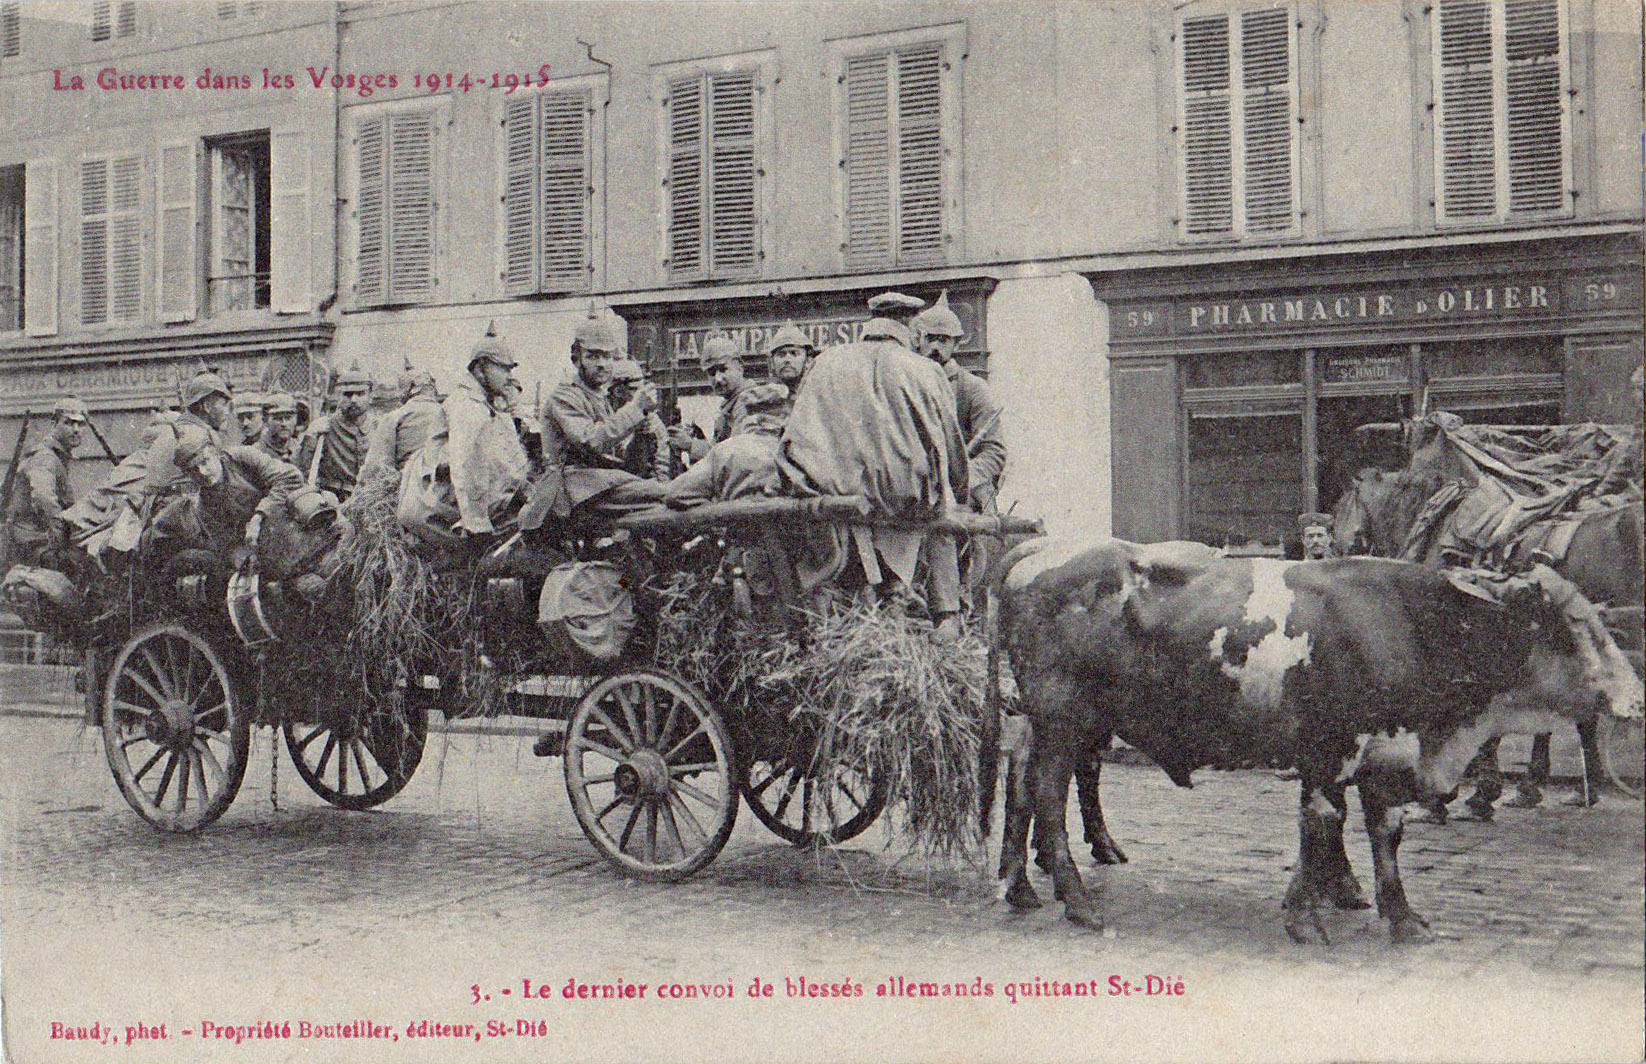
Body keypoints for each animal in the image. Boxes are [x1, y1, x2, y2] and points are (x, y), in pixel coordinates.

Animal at [991, 537, 1643, 943]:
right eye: (1573, 624)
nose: (1634, 695)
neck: (1406, 622)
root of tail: (1039, 551)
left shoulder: (1384, 751)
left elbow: (1383, 832)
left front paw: (1398, 916)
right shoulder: (1330, 748)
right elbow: (1322, 822)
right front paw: (1307, 916)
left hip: (1049, 722)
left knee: (1024, 784)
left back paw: (1022, 887)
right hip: (1061, 719)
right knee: (1045, 793)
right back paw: (1077, 901)